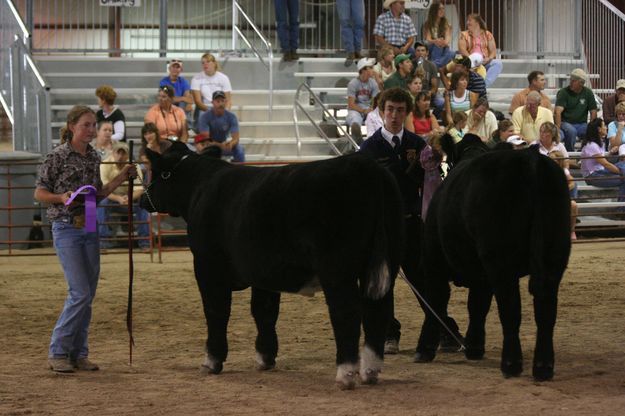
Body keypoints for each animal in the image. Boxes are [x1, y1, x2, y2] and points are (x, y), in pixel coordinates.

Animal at [140, 141, 404, 388]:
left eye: (158, 172)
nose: (143, 199)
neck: (200, 188)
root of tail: (365, 165)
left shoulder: (208, 265)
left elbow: (216, 312)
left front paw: (211, 362)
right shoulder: (263, 271)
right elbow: (264, 311)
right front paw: (265, 359)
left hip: (337, 269)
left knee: (347, 312)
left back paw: (345, 374)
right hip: (387, 261)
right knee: (378, 310)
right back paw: (370, 371)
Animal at [414, 149, 572, 380]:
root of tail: (529, 158)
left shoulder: (434, 262)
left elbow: (436, 301)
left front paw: (424, 349)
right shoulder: (482, 275)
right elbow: (477, 305)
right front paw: (474, 347)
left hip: (500, 259)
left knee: (510, 308)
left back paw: (511, 364)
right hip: (554, 251)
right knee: (545, 308)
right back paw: (543, 367)